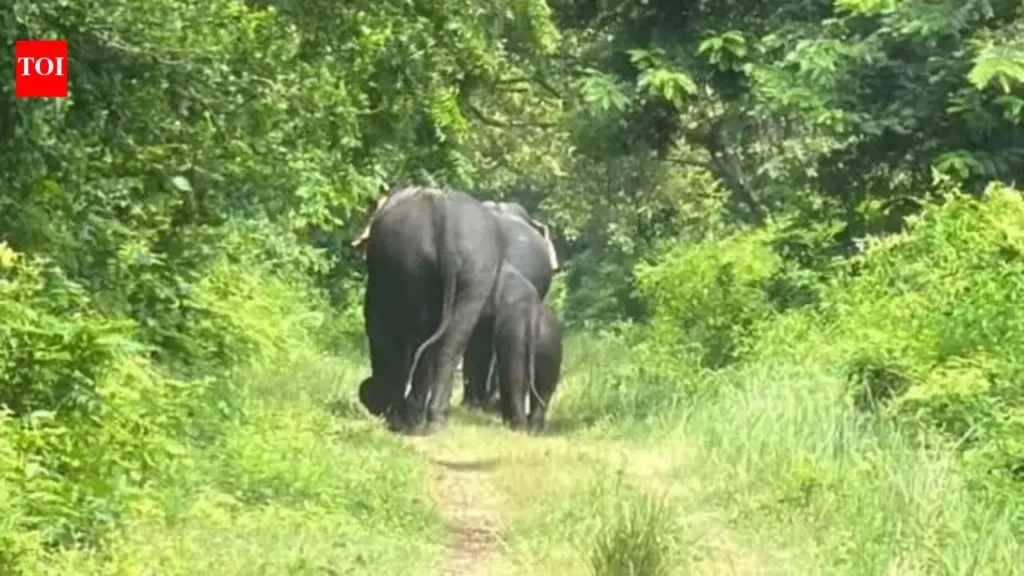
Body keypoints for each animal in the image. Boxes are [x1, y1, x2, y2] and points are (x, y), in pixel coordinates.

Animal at [355, 185, 504, 435]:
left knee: (421, 340)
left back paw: (411, 421)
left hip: (414, 270)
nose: (365, 394)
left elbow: (379, 330)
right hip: (475, 277)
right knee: (450, 344)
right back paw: (435, 420)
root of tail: (446, 225)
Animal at [491, 263, 564, 432]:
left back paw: (519, 427)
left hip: (517, 342)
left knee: (515, 382)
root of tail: (533, 318)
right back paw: (534, 428)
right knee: (544, 388)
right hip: (549, 346)